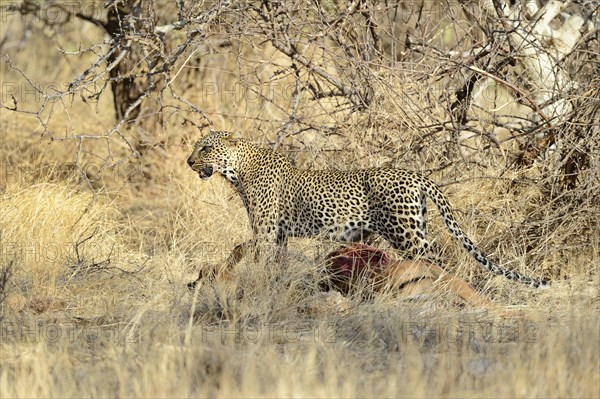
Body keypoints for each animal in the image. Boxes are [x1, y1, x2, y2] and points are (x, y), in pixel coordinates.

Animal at [188, 131, 548, 290]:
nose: (189, 161)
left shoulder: (265, 230)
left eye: (205, 147)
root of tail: (416, 175)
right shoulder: (276, 234)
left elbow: (257, 258)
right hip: (416, 226)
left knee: (434, 261)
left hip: (404, 233)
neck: (237, 171)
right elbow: (265, 258)